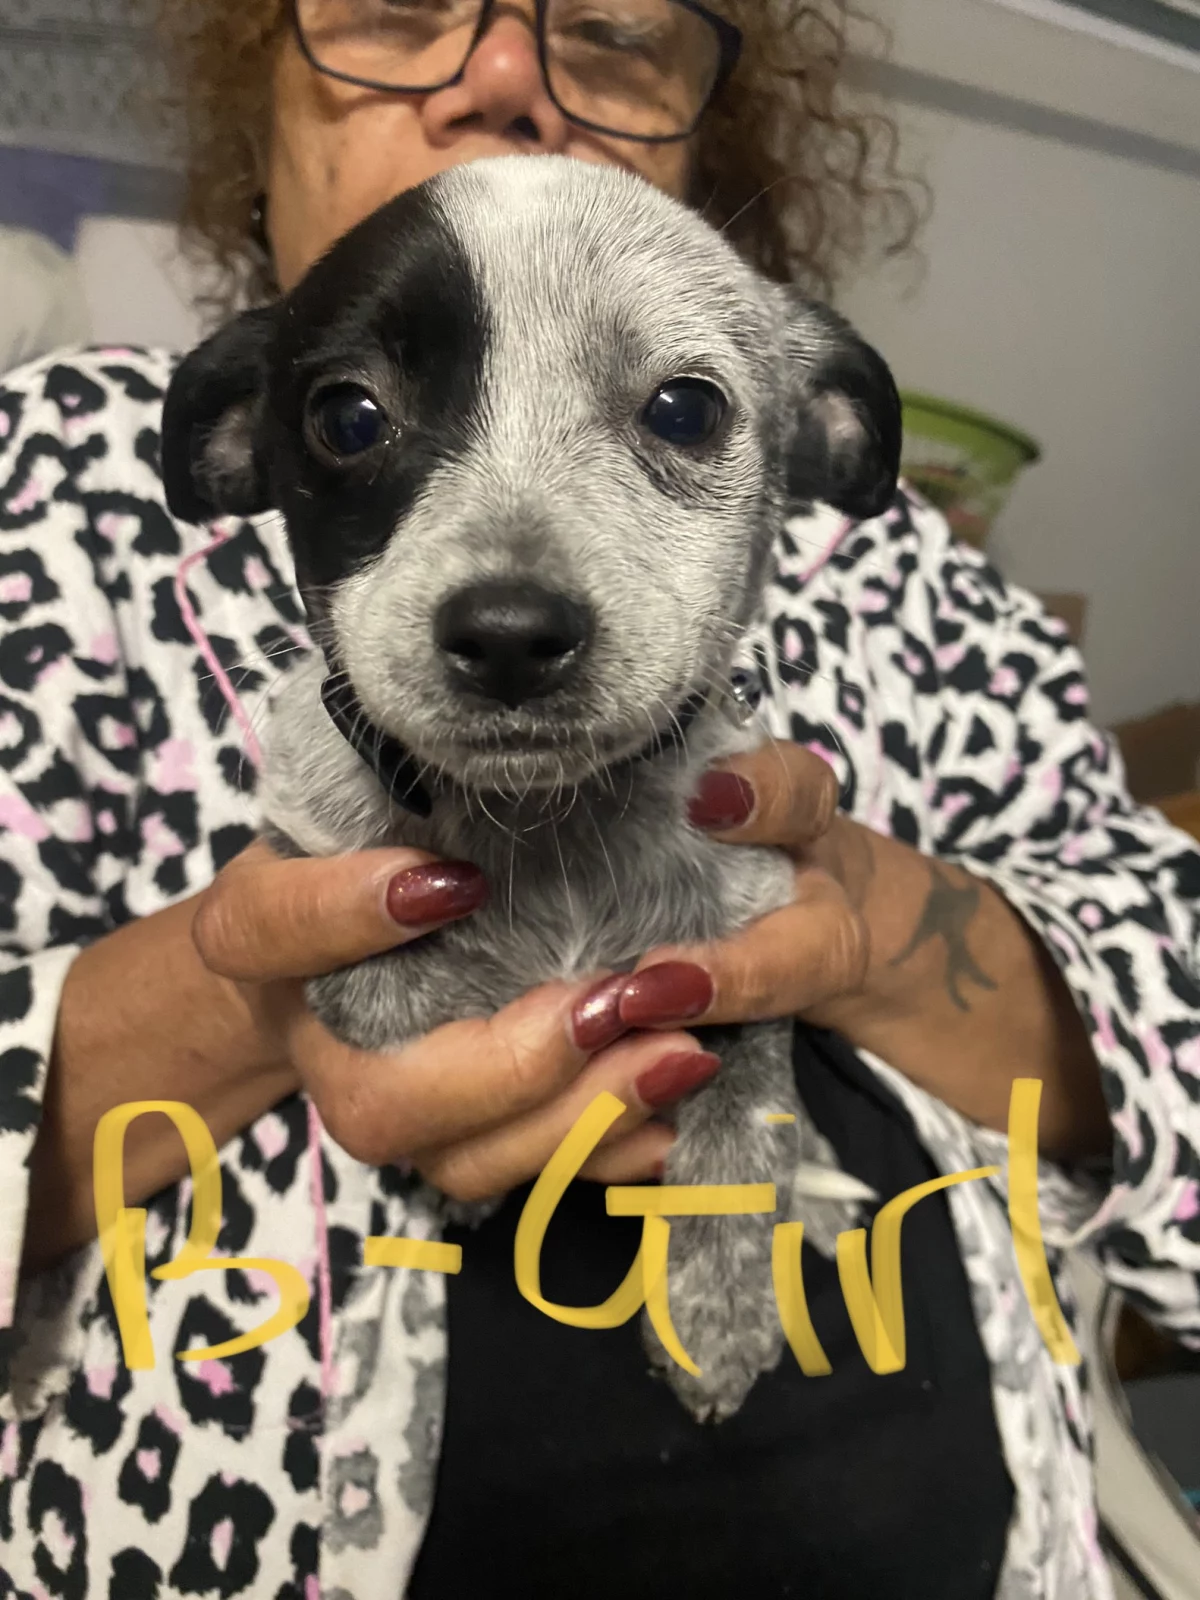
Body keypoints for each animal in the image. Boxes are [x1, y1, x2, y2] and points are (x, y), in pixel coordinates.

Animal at [162, 153, 902, 1423]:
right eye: (347, 416)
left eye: (687, 408)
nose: (508, 633)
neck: (553, 828)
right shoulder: (318, 860)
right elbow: (382, 992)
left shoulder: (753, 934)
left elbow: (745, 1105)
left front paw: (719, 1297)